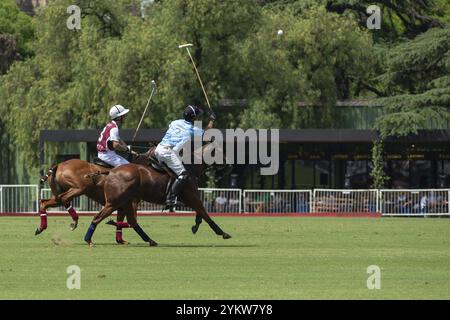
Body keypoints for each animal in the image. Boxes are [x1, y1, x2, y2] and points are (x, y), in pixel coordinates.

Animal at [84, 142, 232, 245]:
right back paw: (89, 239)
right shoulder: (192, 197)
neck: (191, 168)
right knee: (98, 218)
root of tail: (111, 171)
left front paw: (195, 226)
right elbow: (205, 214)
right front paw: (222, 233)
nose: (229, 165)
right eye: (220, 150)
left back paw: (149, 240)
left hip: (125, 202)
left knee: (132, 221)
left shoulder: (192, 198)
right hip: (115, 202)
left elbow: (200, 214)